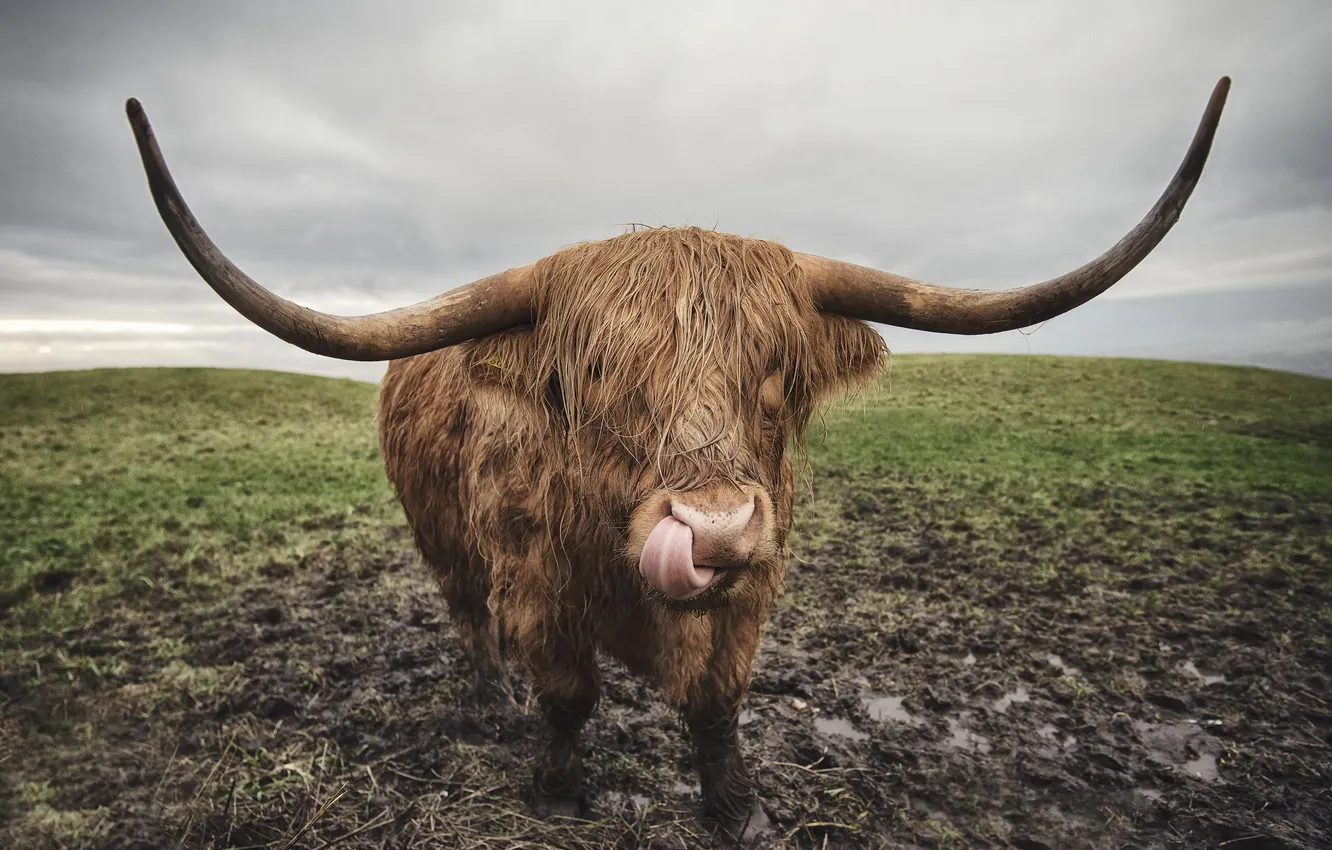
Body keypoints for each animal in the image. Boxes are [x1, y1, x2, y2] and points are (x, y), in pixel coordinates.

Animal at [125, 77, 1228, 842]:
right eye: (593, 370)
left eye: (775, 366)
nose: (712, 529)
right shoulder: (540, 590)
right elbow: (567, 696)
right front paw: (558, 790)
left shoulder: (751, 594)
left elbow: (717, 704)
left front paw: (736, 807)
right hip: (441, 542)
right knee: (466, 613)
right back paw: (484, 693)